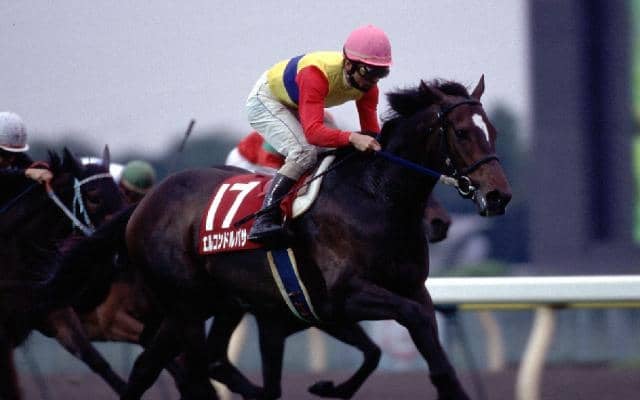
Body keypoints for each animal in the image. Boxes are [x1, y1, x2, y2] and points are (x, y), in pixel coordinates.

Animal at [63, 76, 511, 400]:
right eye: (461, 132)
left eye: (492, 130)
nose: (498, 196)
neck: (374, 199)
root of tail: (145, 203)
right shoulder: (340, 295)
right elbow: (409, 324)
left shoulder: (359, 302)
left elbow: (406, 347)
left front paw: (329, 386)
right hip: (184, 305)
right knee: (175, 368)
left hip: (219, 304)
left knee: (189, 363)